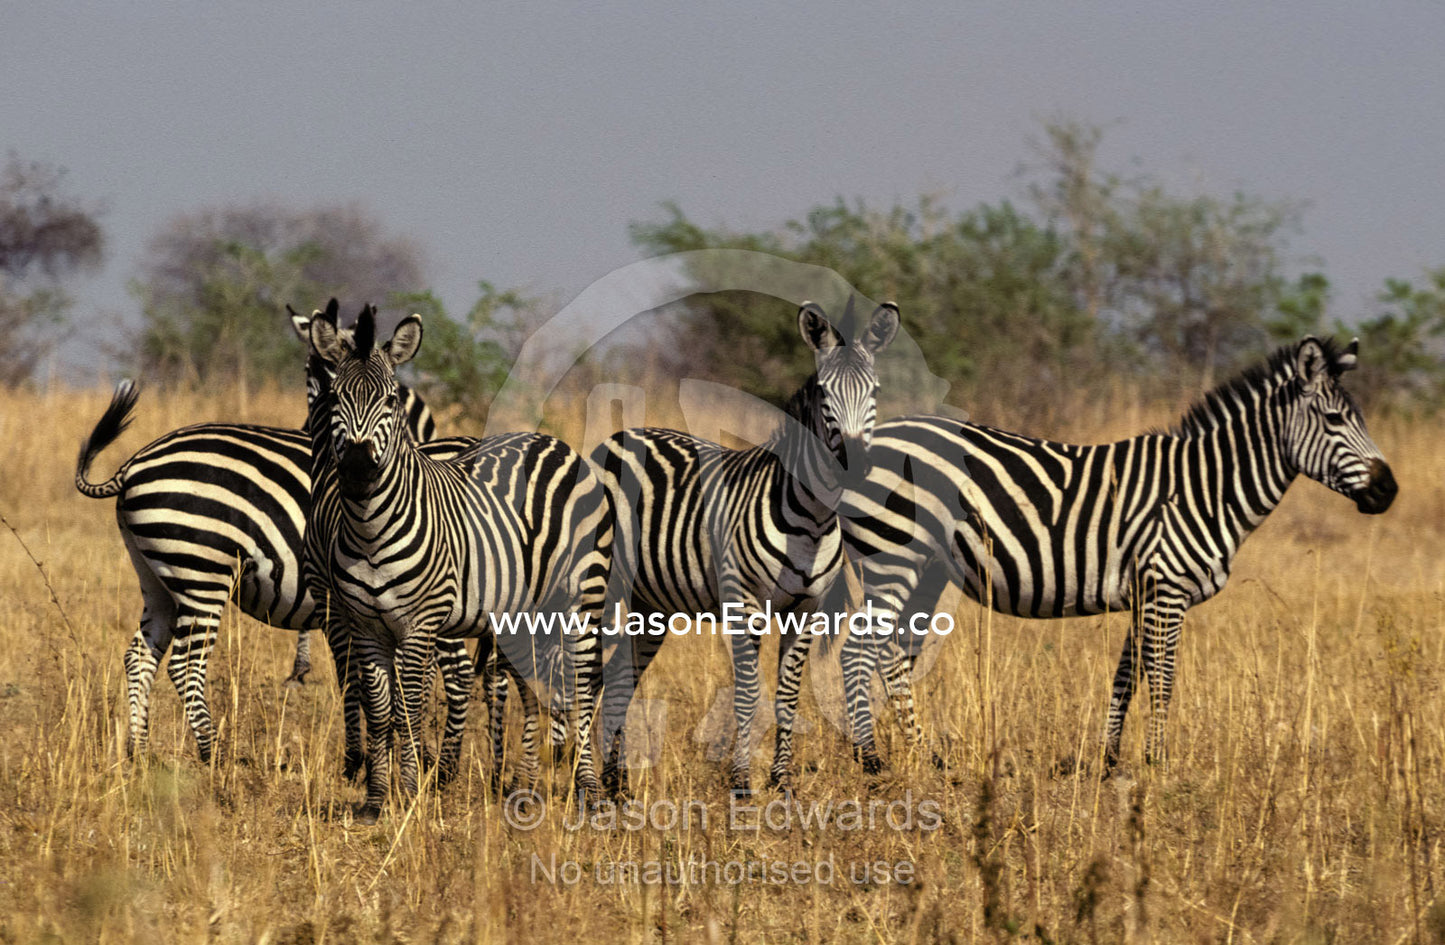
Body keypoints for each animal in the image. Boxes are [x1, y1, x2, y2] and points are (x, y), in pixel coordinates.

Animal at [74, 320, 446, 765]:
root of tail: (132, 465)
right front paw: (422, 758)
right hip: (202, 571)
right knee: (185, 664)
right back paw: (215, 756)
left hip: (156, 576)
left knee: (140, 655)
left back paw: (139, 754)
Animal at [302, 301, 612, 823]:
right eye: (337, 397)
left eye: (391, 401)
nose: (360, 466)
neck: (367, 529)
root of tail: (553, 443)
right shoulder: (364, 625)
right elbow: (380, 710)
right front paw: (375, 801)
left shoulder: (418, 623)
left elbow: (409, 706)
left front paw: (410, 792)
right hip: (522, 616)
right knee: (533, 690)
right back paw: (522, 788)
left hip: (583, 598)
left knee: (585, 684)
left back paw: (587, 792)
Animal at [594, 299, 898, 795]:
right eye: (824, 396)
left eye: (874, 392)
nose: (855, 467)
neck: (813, 520)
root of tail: (617, 436)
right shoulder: (746, 604)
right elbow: (749, 691)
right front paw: (740, 780)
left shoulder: (806, 609)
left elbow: (788, 693)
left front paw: (782, 779)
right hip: (606, 586)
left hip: (650, 602)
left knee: (623, 672)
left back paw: (615, 782)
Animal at [830, 336, 1397, 773]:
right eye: (1333, 419)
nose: (1388, 491)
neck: (1204, 488)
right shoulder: (1167, 588)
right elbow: (1163, 677)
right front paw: (1158, 762)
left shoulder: (1146, 591)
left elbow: (1129, 675)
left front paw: (1109, 759)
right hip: (892, 555)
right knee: (862, 649)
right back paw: (878, 759)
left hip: (924, 567)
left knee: (892, 654)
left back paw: (912, 755)